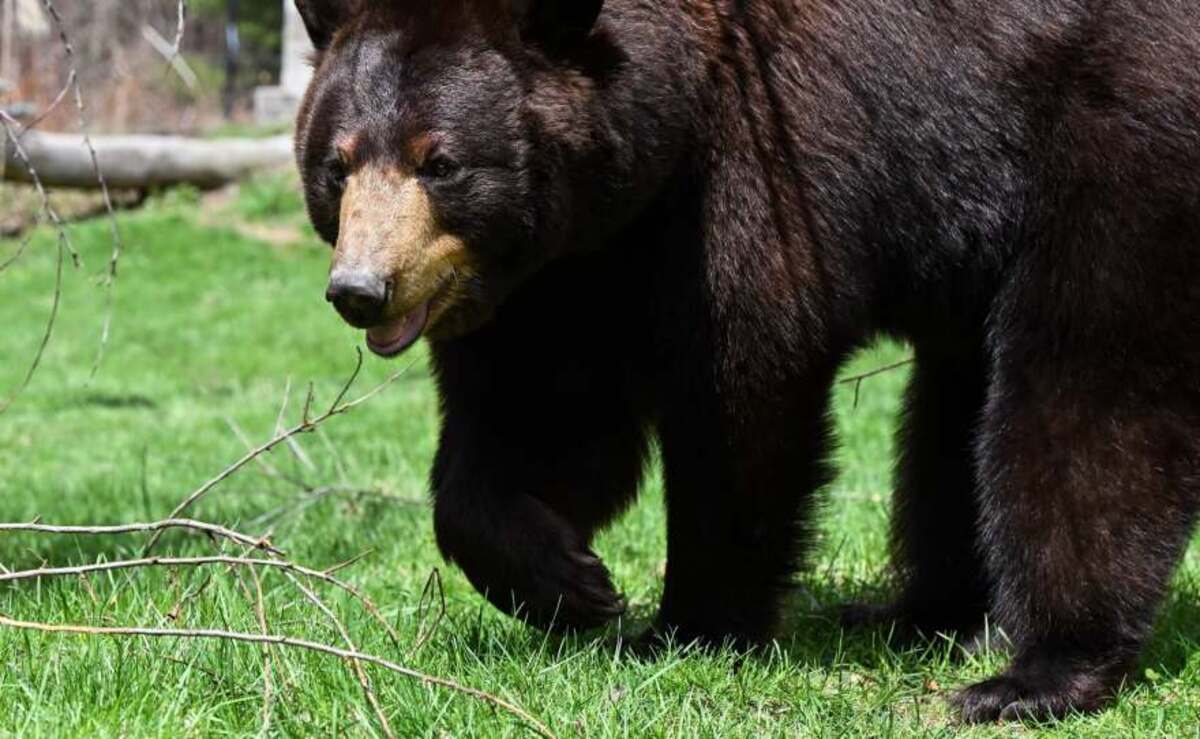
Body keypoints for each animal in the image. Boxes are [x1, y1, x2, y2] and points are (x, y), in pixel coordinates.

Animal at [292, 0, 1200, 723]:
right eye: (336, 163)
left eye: (439, 161)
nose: (360, 289)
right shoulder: (569, 263)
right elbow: (540, 410)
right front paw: (570, 580)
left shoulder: (761, 158)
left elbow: (742, 389)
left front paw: (688, 625)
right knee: (957, 407)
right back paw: (920, 613)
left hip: (1112, 136)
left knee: (1083, 383)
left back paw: (1037, 669)